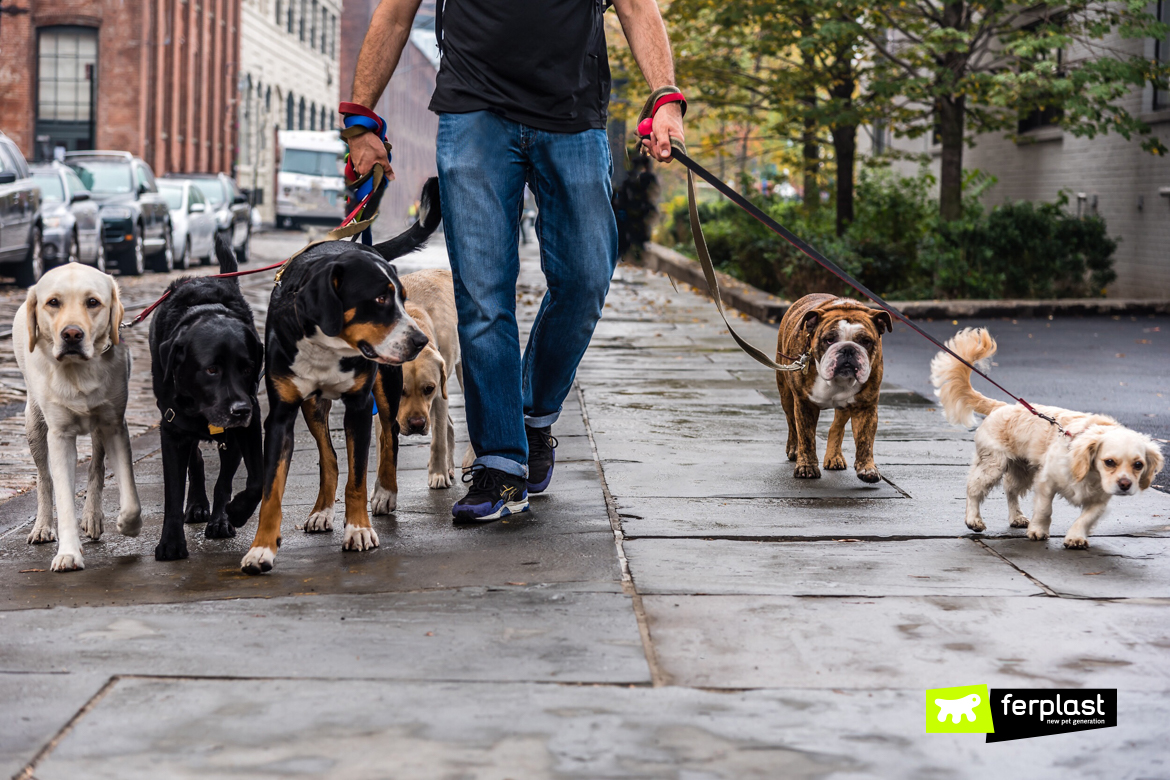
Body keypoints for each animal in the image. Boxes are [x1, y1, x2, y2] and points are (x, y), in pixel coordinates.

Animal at [13, 265, 141, 570]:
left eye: (92, 302)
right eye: (53, 302)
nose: (72, 334)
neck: (78, 372)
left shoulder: (115, 425)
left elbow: (129, 494)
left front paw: (128, 523)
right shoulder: (60, 436)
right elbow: (62, 496)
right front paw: (69, 553)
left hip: (98, 430)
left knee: (96, 467)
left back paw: (93, 516)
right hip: (33, 423)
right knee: (44, 478)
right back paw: (43, 526)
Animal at [150, 233, 265, 561]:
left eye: (247, 368)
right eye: (211, 369)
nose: (239, 410)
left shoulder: (249, 425)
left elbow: (251, 480)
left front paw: (232, 514)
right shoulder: (171, 430)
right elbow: (173, 493)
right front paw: (171, 543)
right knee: (197, 460)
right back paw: (197, 505)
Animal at [239, 176, 439, 570]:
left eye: (402, 299)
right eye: (380, 299)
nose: (420, 341)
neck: (328, 345)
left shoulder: (360, 407)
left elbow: (358, 478)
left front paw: (358, 529)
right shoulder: (281, 415)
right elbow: (272, 490)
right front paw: (261, 548)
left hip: (386, 389)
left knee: (389, 437)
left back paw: (386, 492)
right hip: (313, 405)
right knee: (329, 458)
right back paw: (321, 511)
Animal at [931, 327, 1160, 549]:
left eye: (1138, 465)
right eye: (1109, 462)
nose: (1125, 485)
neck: (1088, 472)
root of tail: (1002, 406)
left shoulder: (1100, 500)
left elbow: (1086, 518)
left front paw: (1075, 537)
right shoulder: (1045, 481)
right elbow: (1044, 509)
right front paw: (1038, 531)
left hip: (1021, 471)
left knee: (1010, 491)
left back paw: (1016, 517)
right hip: (992, 466)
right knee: (973, 489)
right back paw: (973, 519)